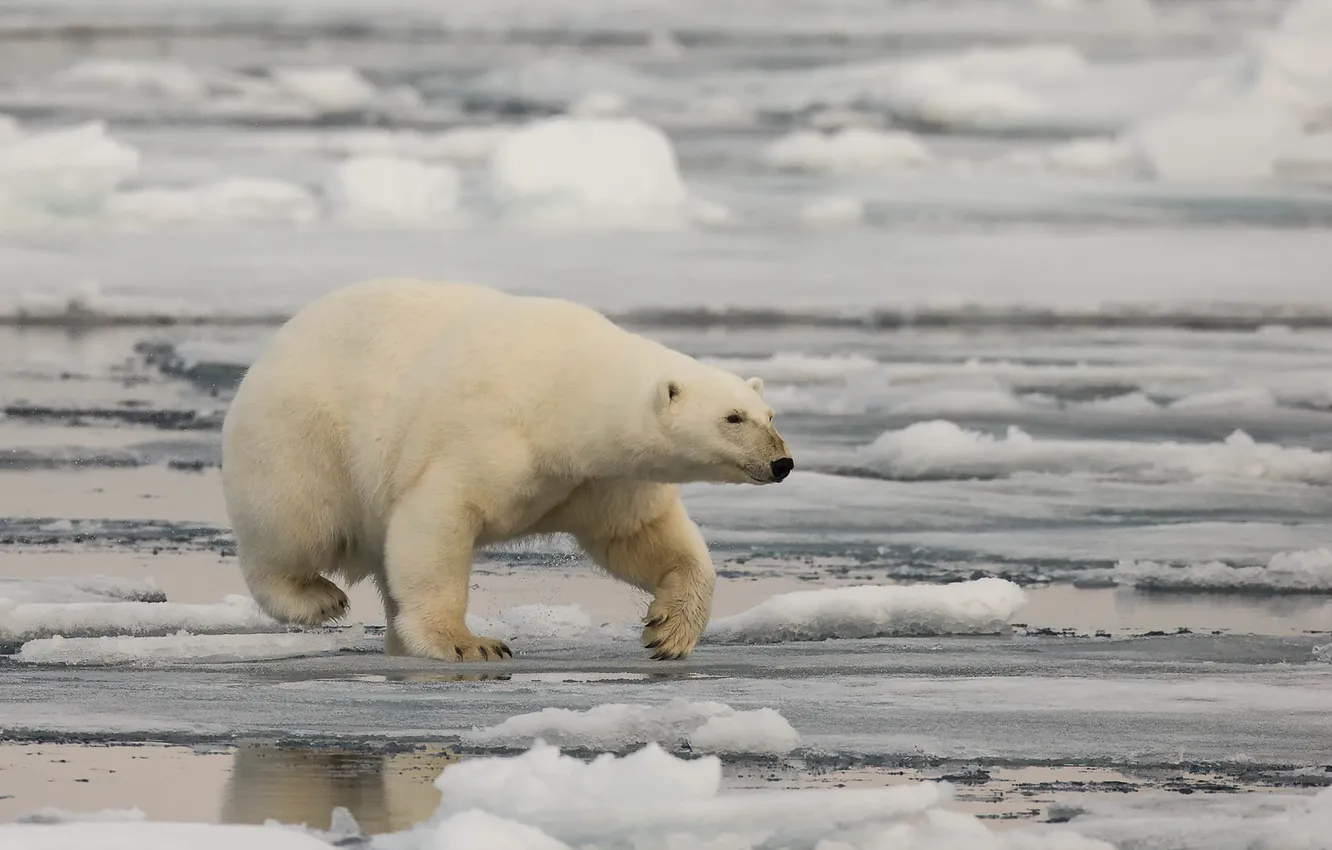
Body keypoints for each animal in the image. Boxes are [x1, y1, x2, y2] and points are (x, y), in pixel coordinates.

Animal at [220, 278, 793, 662]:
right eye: (732, 417)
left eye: (769, 415)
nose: (782, 462)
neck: (565, 388)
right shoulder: (487, 434)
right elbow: (439, 520)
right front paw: (468, 643)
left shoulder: (598, 478)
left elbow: (641, 535)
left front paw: (669, 630)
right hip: (303, 437)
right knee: (296, 525)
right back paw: (316, 598)